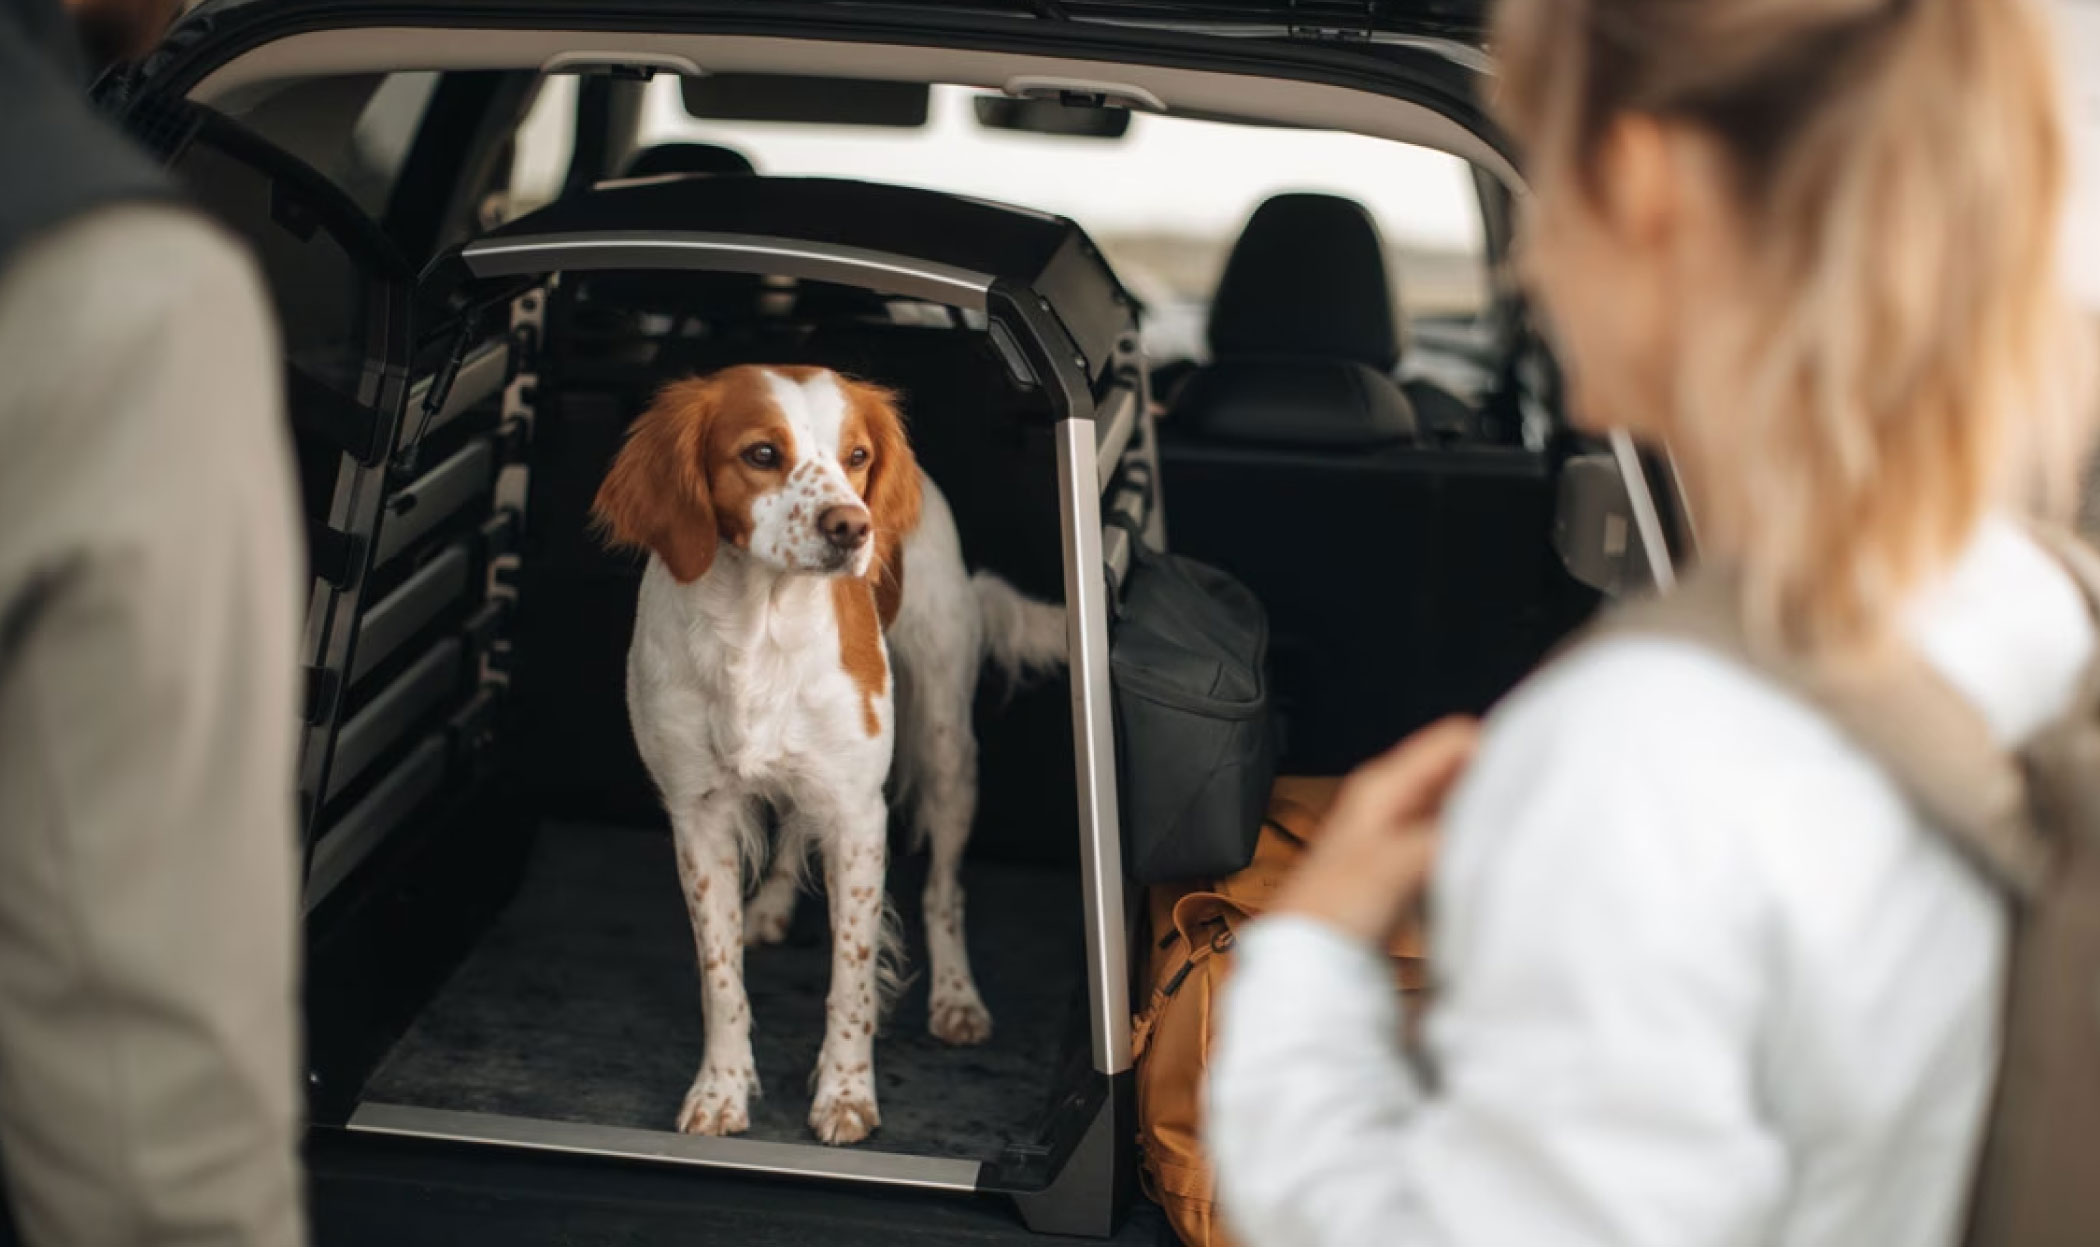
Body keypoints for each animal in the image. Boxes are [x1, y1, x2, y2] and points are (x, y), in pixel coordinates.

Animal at [592, 363, 1058, 1142]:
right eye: (760, 453)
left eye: (857, 456)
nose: (851, 526)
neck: (760, 628)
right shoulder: (699, 814)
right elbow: (721, 976)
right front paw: (721, 1089)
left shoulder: (858, 816)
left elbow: (853, 974)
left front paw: (845, 1095)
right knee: (791, 835)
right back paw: (772, 907)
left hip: (947, 748)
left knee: (945, 889)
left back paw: (957, 997)